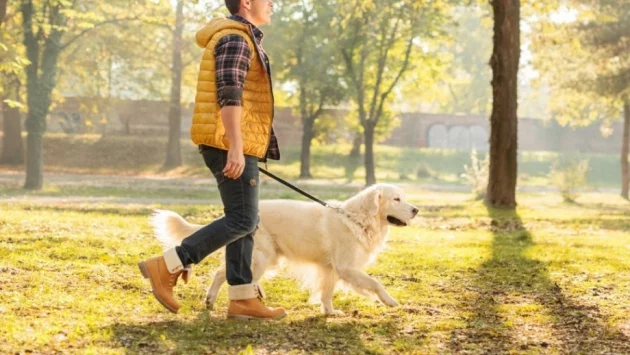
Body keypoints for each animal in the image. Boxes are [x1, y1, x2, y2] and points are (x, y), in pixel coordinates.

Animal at [151, 185, 420, 316]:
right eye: (396, 199)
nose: (416, 210)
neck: (357, 218)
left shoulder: (331, 269)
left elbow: (327, 292)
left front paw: (330, 312)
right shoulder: (346, 267)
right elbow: (376, 284)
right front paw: (390, 301)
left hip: (266, 258)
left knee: (227, 273)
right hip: (263, 257)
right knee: (226, 275)